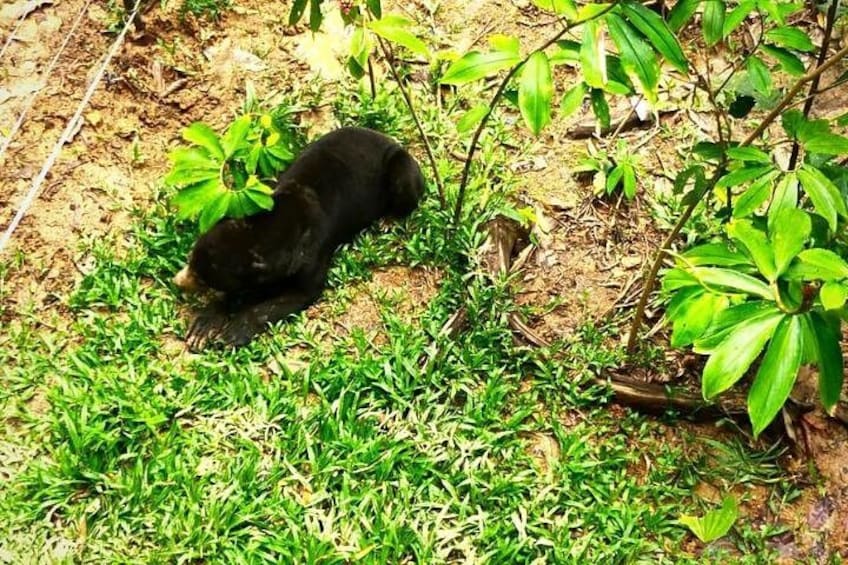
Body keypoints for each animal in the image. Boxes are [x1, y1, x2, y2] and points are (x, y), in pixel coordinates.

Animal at [173, 126, 426, 351]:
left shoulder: (312, 253)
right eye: (191, 261)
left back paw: (389, 220)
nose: (178, 282)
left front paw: (234, 331)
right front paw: (203, 327)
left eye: (202, 279)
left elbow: (294, 296)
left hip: (401, 166)